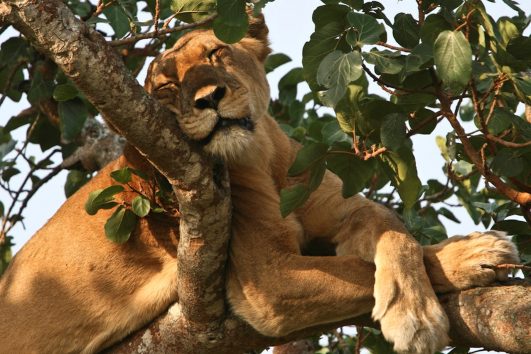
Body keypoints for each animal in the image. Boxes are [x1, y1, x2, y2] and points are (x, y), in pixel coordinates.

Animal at [0, 13, 520, 354]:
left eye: (216, 53)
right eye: (167, 89)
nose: (208, 98)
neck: (263, 154)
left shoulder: (339, 208)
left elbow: (394, 228)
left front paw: (430, 283)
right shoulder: (268, 281)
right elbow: (357, 268)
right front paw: (454, 277)